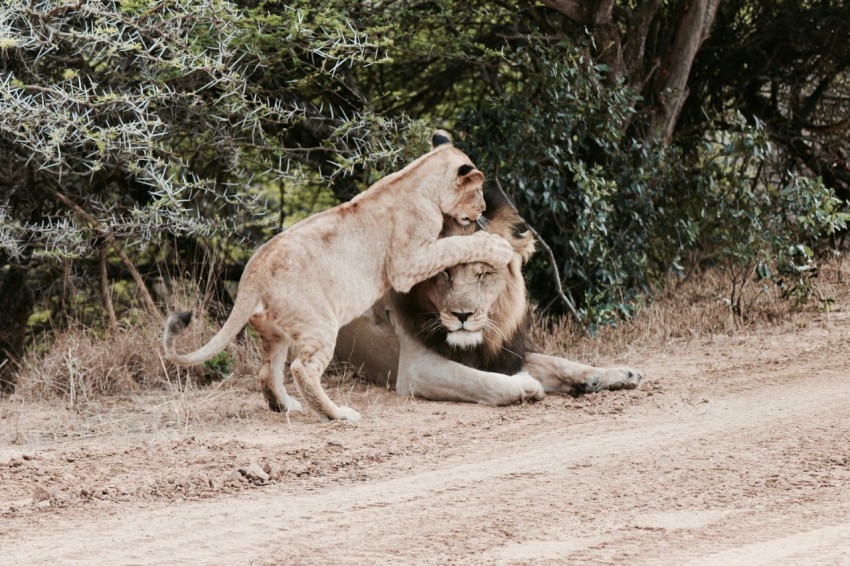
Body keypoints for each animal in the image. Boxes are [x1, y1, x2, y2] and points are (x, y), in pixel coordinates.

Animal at [162, 131, 514, 422]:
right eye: (478, 190)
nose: (482, 210)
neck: (417, 177)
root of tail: (252, 272)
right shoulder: (407, 263)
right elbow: (453, 245)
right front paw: (497, 246)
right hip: (318, 323)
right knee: (302, 369)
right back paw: (336, 414)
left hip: (276, 333)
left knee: (267, 371)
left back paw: (285, 406)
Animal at [335, 183, 643, 405]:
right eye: (444, 274)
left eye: (482, 274)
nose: (462, 315)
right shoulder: (416, 369)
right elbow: (483, 382)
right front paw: (527, 385)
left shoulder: (504, 352)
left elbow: (558, 362)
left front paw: (614, 375)